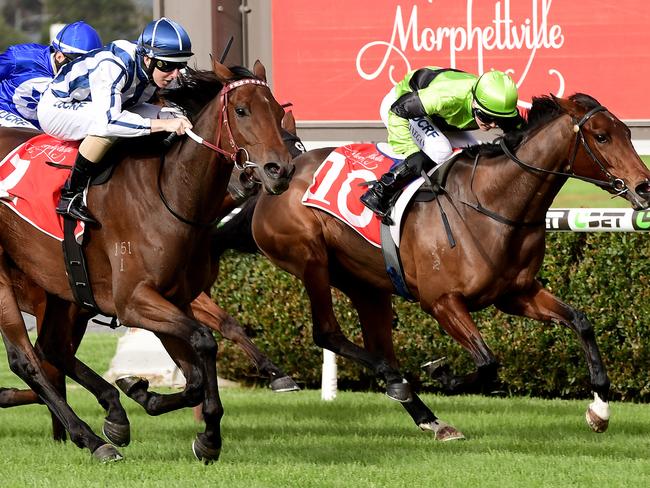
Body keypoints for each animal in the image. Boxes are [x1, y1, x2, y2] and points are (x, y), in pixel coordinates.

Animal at [0, 58, 292, 462]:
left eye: (279, 112)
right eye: (242, 110)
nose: (280, 170)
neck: (169, 193)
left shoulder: (174, 299)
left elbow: (197, 370)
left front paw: (157, 404)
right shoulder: (134, 301)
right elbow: (205, 342)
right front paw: (190, 423)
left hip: (61, 288)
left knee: (52, 349)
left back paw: (110, 415)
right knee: (26, 360)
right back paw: (91, 439)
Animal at [248, 93, 648, 440]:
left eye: (629, 134)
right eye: (601, 136)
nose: (644, 187)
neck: (492, 202)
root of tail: (282, 171)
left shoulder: (517, 293)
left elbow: (581, 322)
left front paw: (599, 410)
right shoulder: (442, 302)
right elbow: (487, 362)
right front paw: (442, 374)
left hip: (366, 284)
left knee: (378, 346)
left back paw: (426, 415)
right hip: (312, 260)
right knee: (327, 333)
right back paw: (398, 384)